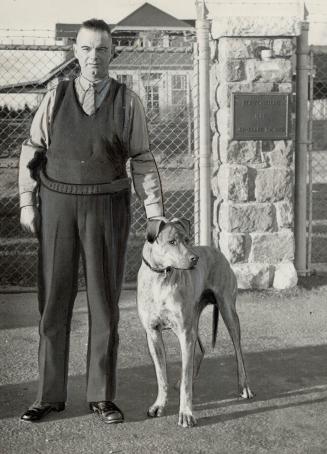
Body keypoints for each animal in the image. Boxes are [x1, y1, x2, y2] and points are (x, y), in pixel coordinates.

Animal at [137, 218, 255, 428]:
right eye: (172, 242)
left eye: (187, 239)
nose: (195, 259)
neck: (161, 278)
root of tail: (218, 252)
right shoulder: (153, 334)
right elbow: (161, 376)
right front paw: (159, 404)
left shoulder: (184, 333)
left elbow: (185, 381)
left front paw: (186, 413)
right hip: (194, 320)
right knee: (200, 350)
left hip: (227, 312)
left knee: (238, 352)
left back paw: (244, 386)